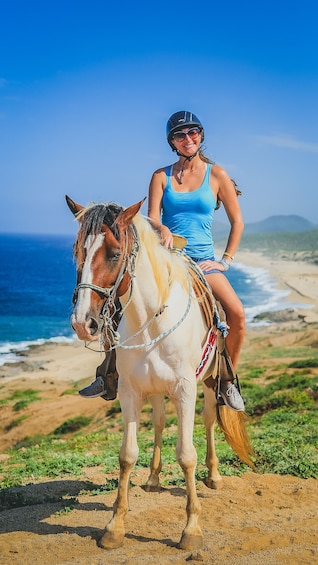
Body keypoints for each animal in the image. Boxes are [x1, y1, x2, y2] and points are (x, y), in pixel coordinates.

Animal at [66, 195, 255, 552]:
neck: (150, 320)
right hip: (153, 389)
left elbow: (186, 455)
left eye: (114, 254)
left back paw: (214, 475)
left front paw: (191, 529)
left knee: (210, 419)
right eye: (77, 253)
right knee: (157, 421)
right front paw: (115, 526)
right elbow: (127, 455)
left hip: (209, 382)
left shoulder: (185, 390)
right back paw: (154, 478)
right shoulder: (129, 391)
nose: (83, 323)